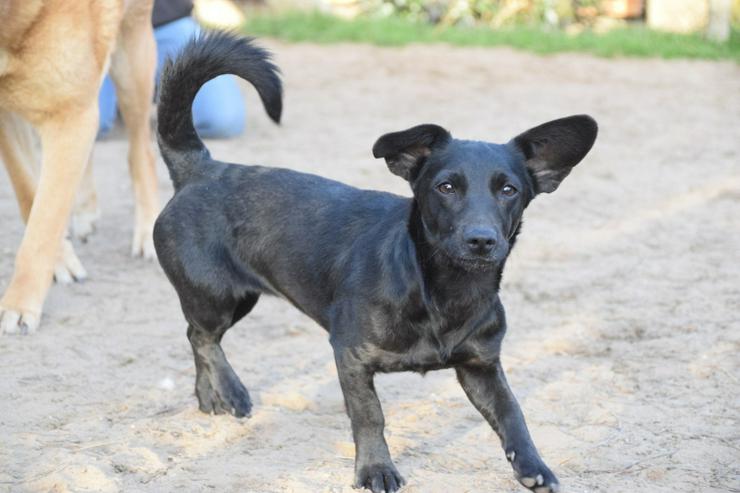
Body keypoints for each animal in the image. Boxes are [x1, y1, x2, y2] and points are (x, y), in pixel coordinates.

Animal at [0, 0, 159, 334]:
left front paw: (20, 303)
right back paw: (85, 209)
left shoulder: (67, 115)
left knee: (141, 149)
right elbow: (30, 195)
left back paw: (147, 226)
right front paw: (62, 260)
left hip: (132, 56)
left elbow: (44, 224)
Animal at [155, 32, 596, 490]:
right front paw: (376, 469)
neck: (444, 291)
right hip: (218, 296)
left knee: (194, 336)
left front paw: (533, 465)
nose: (481, 240)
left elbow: (513, 413)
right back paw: (230, 390)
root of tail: (201, 168)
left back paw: (210, 397)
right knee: (204, 337)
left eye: (509, 190)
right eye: (446, 186)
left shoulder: (481, 365)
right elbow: (370, 416)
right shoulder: (350, 355)